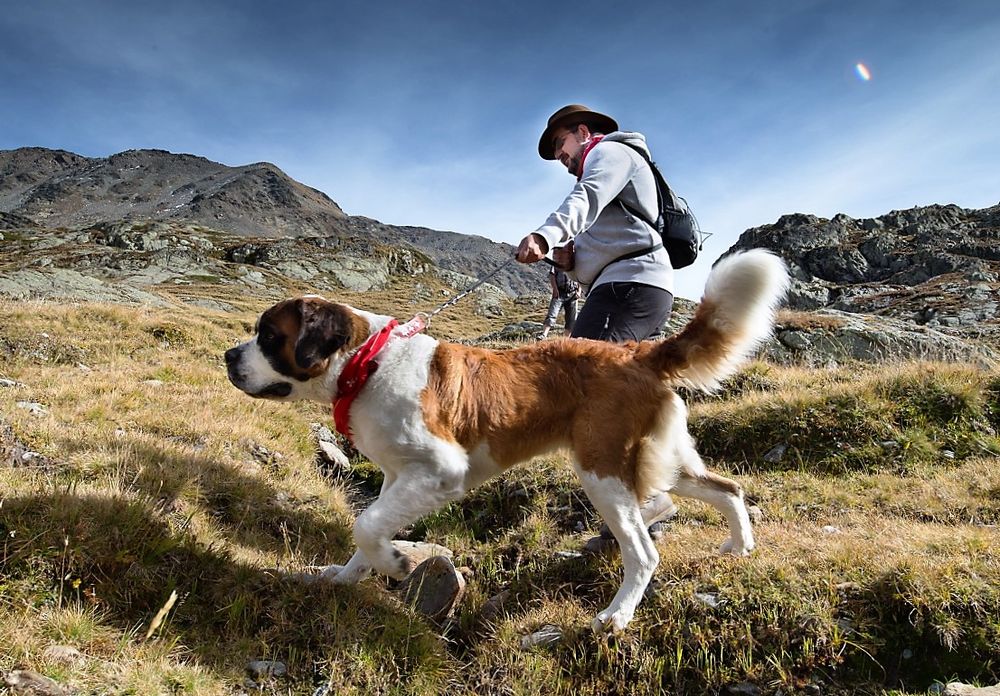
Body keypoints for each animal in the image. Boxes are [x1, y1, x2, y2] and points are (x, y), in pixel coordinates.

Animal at [225, 250, 788, 636]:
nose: (230, 356)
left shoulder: (441, 470)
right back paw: (740, 546)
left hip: (602, 466)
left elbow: (365, 524)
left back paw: (615, 615)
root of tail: (636, 352)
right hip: (659, 461)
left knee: (644, 552)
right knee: (722, 489)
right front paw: (346, 577)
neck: (367, 363)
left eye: (269, 337)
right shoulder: (398, 477)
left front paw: (396, 565)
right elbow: (370, 526)